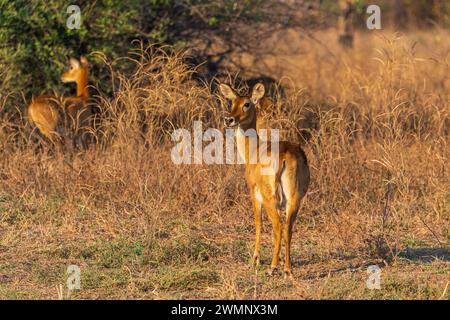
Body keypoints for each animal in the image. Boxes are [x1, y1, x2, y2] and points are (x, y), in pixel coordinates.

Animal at [219, 82, 310, 278]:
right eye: (231, 101)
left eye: (247, 103)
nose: (229, 119)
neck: (253, 150)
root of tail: (285, 156)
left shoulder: (254, 195)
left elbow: (258, 222)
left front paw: (255, 258)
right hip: (294, 199)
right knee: (288, 228)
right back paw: (287, 269)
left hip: (271, 199)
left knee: (277, 226)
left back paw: (272, 267)